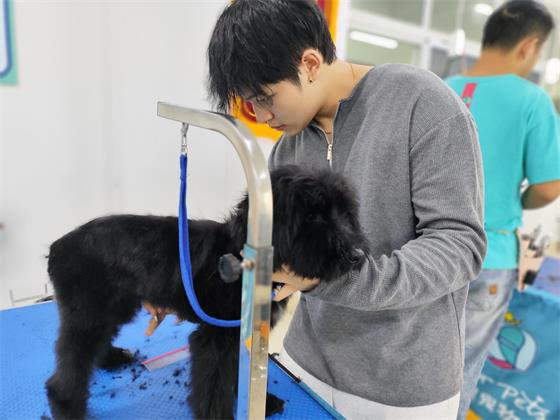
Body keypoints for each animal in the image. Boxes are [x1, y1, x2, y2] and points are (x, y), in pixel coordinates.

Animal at [45, 165, 369, 419]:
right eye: (314, 216)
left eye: (346, 213)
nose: (357, 255)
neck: (239, 254)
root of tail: (57, 247)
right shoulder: (216, 340)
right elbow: (214, 388)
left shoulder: (239, 335)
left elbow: (242, 375)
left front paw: (262, 404)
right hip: (88, 313)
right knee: (70, 364)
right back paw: (66, 406)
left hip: (115, 306)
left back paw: (111, 358)